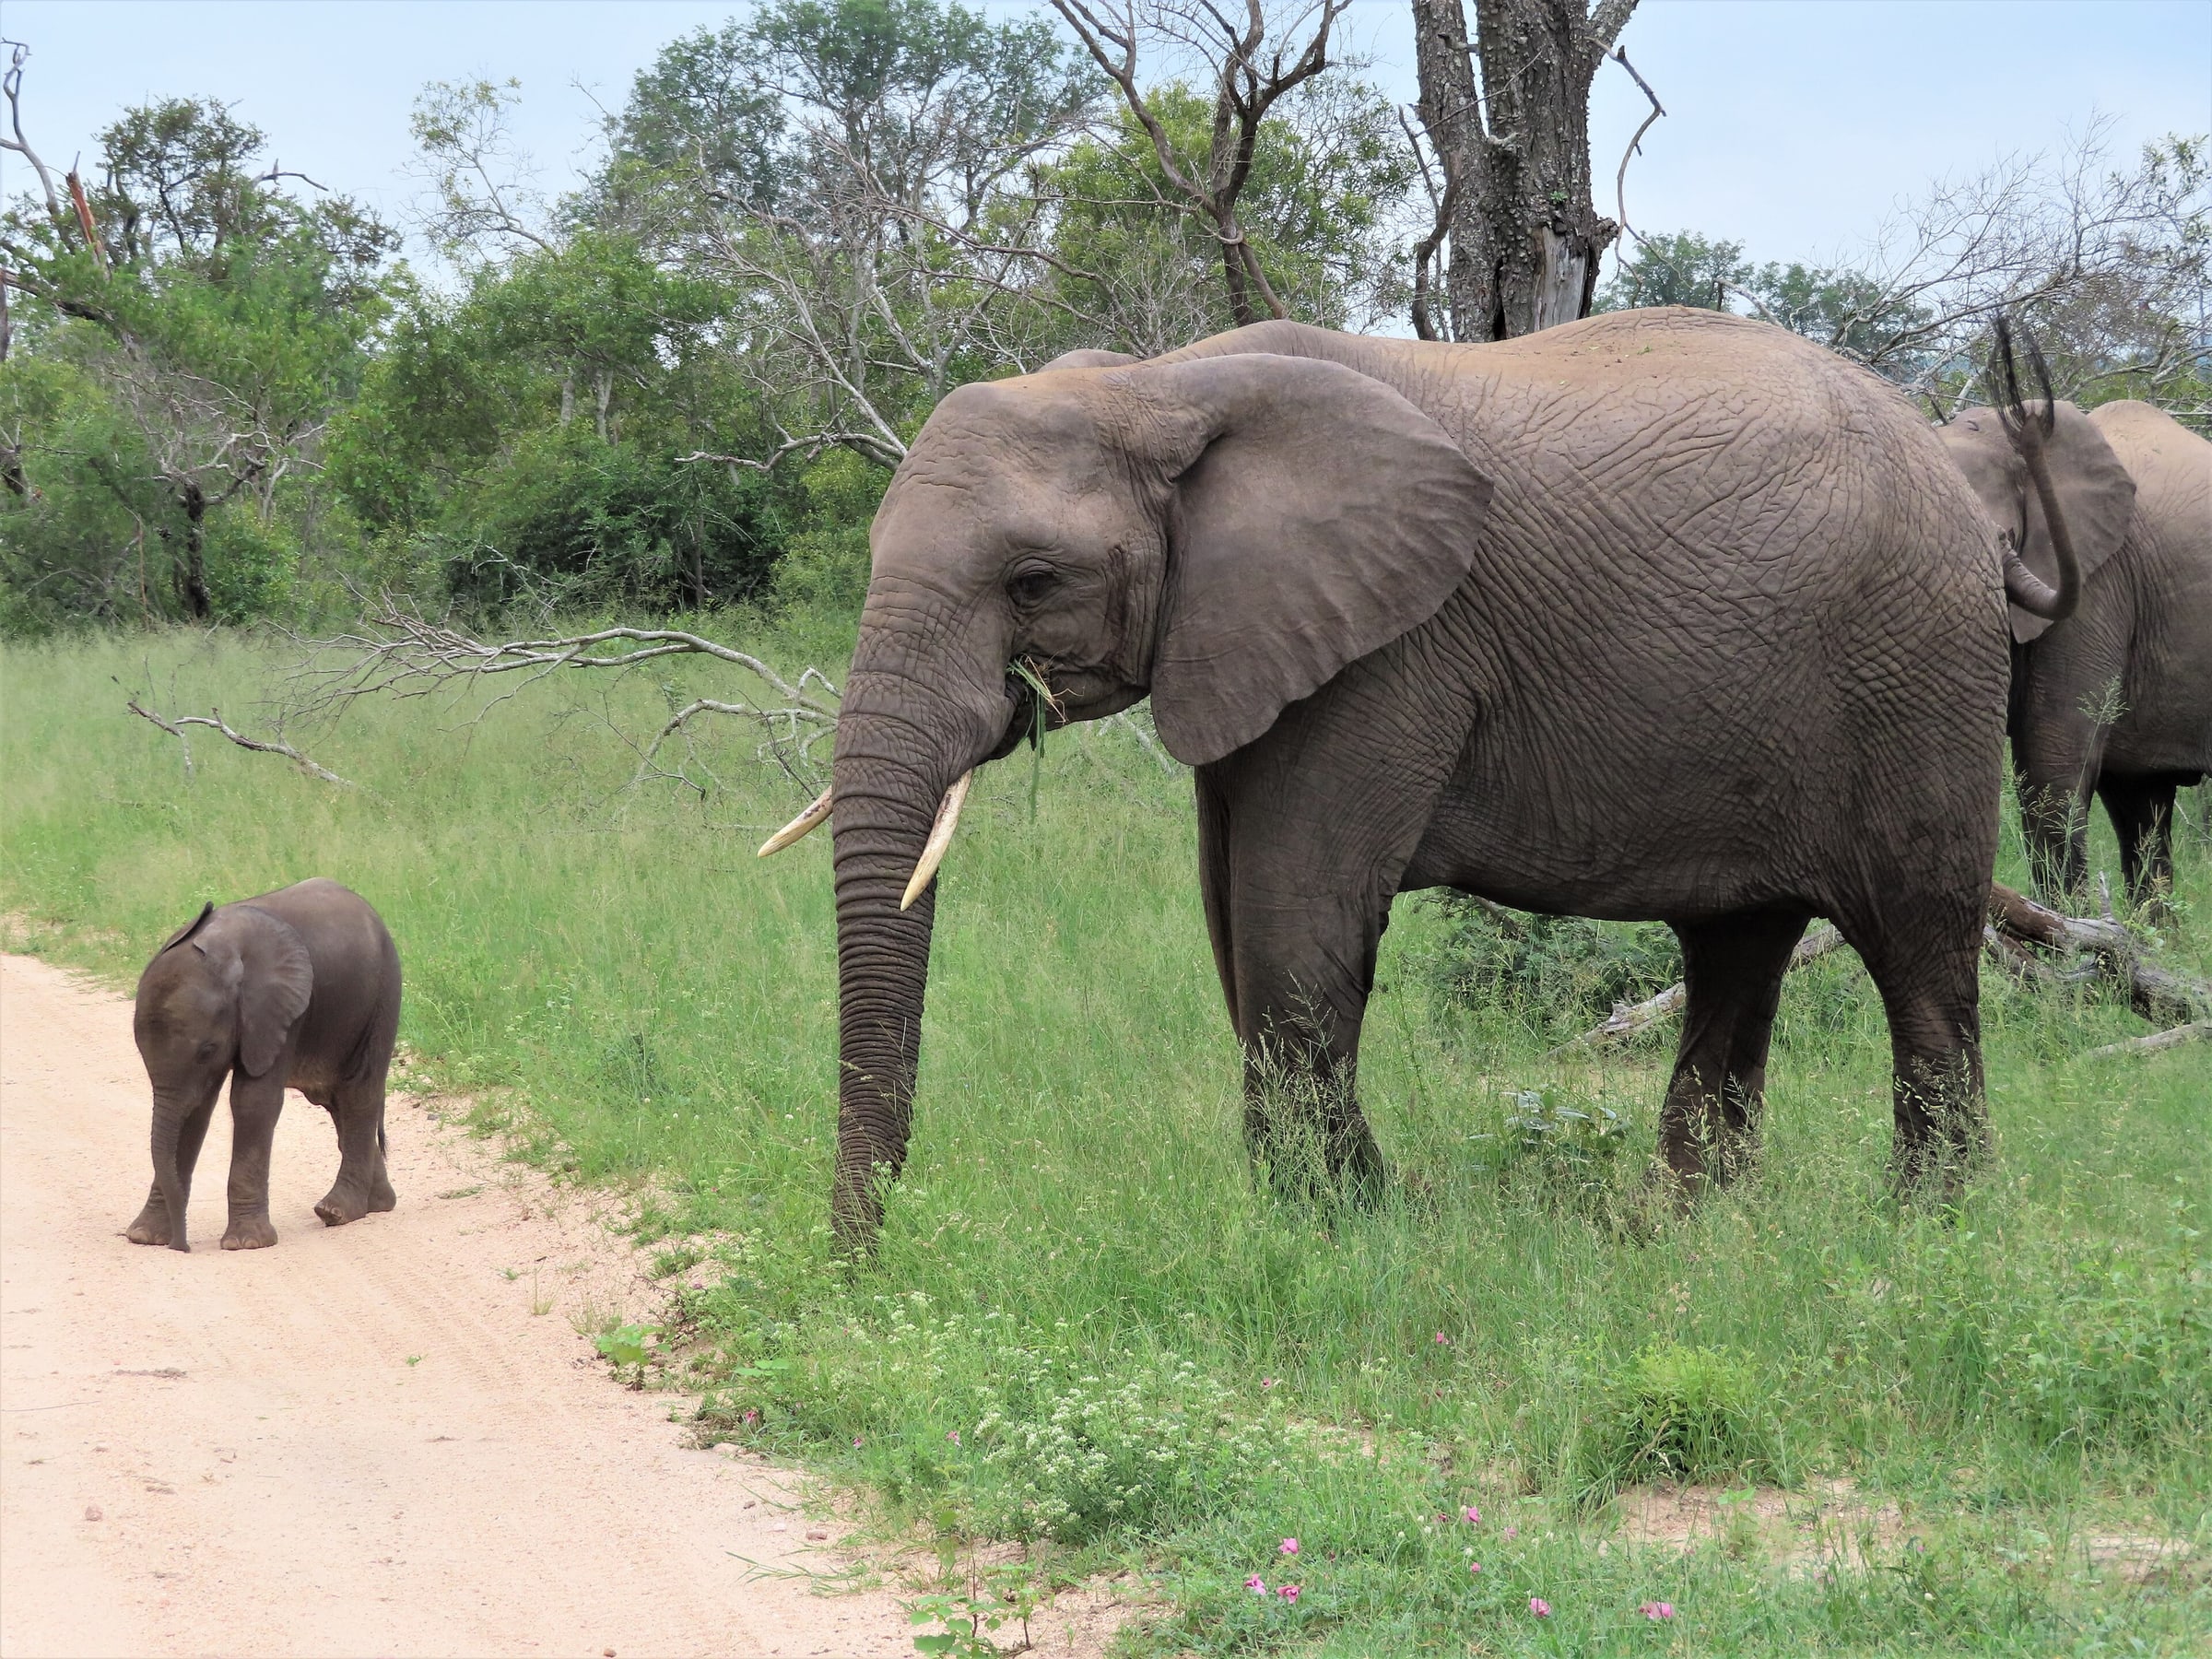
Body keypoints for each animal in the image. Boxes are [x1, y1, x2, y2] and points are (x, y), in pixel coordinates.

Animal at [127, 878, 402, 1253]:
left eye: (207, 1050)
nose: (181, 1247)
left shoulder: (282, 1011)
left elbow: (252, 1102)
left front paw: (245, 1244)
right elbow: (195, 1111)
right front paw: (144, 1237)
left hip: (382, 995)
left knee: (359, 1093)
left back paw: (338, 1212)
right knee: (337, 1102)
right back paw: (378, 1203)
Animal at [766, 309, 2080, 1250]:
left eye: (1033, 582)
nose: (863, 1262)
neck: (1157, 382)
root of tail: (1957, 485)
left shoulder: (1393, 652)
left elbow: (1295, 922)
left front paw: (1348, 1223)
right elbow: (1234, 926)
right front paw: (1318, 1211)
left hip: (1919, 674)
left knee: (1918, 950)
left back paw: (1925, 1232)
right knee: (1738, 953)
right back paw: (1684, 1232)